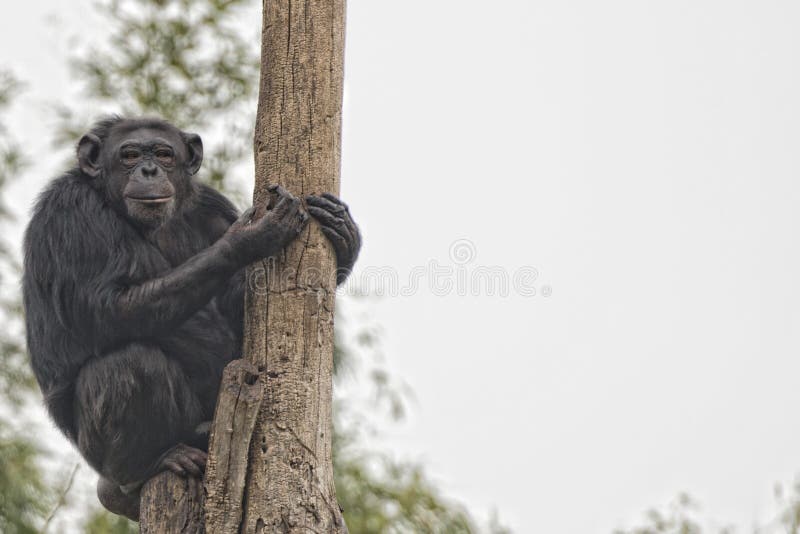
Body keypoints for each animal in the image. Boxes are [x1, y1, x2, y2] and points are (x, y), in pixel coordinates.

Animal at [21, 116, 360, 520]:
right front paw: (247, 238)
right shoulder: (70, 208)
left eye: (164, 154)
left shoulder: (211, 207)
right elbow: (107, 307)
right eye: (129, 154)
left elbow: (240, 306)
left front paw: (344, 236)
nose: (149, 170)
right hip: (98, 457)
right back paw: (154, 460)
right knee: (126, 365)